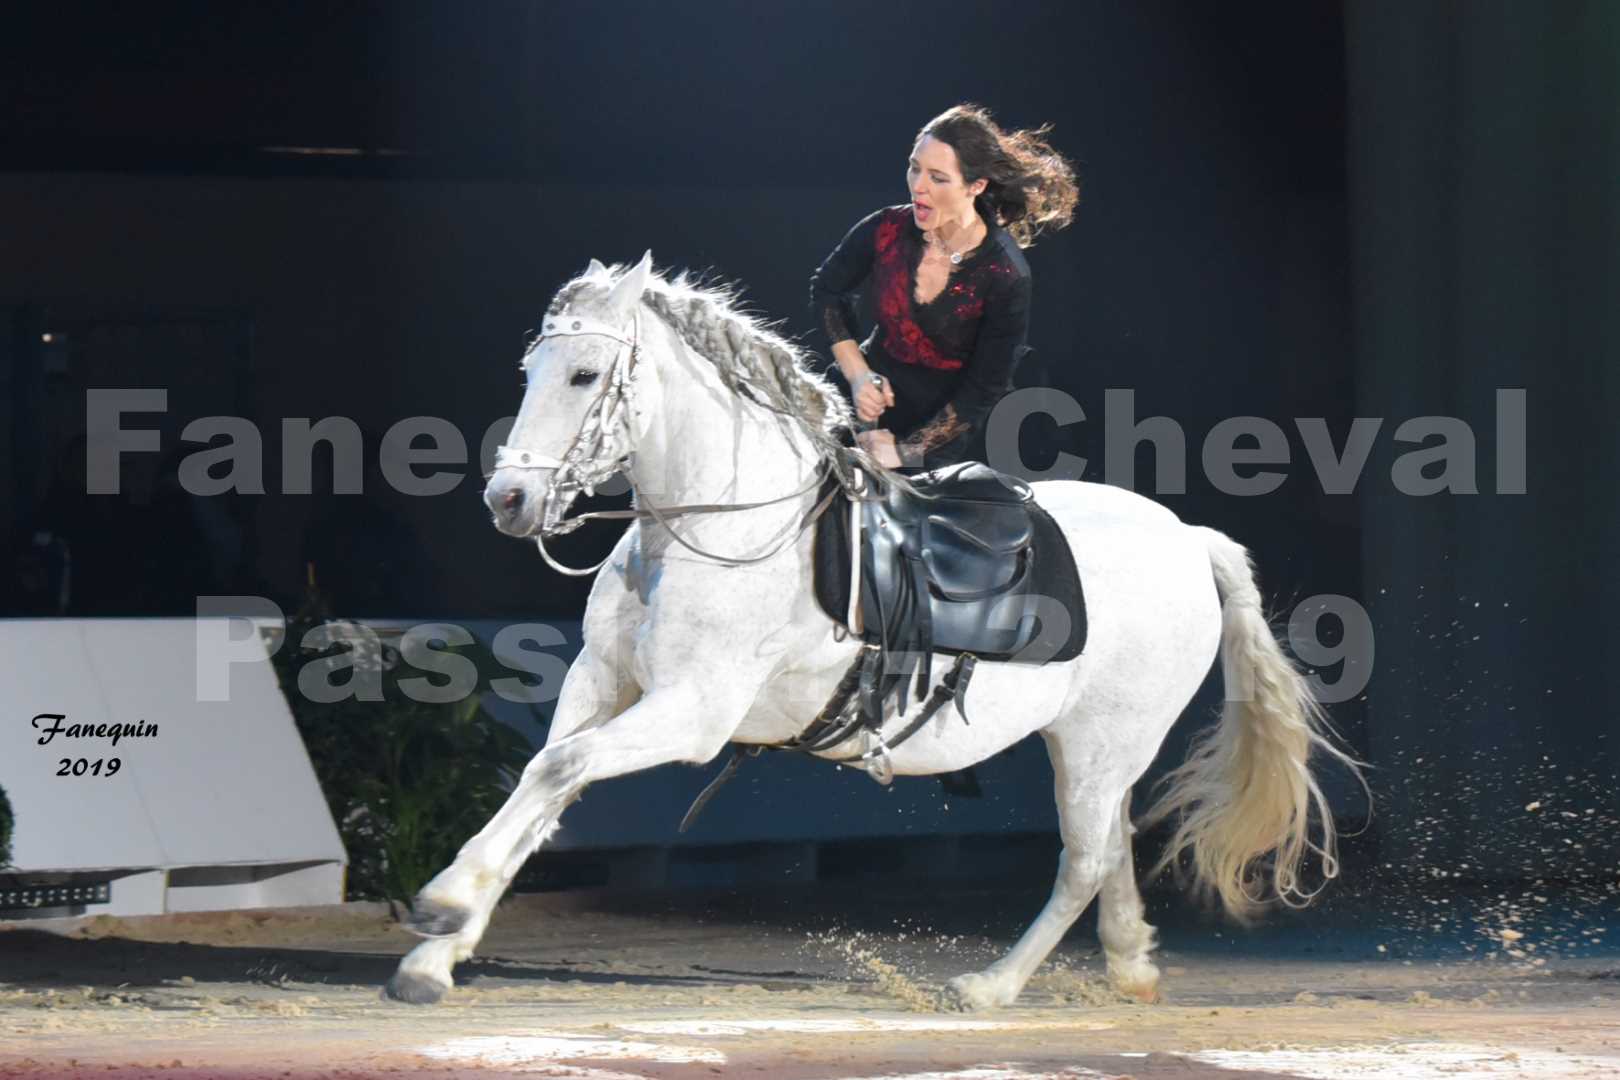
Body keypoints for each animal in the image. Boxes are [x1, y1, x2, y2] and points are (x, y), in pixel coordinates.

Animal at [385, 254, 1360, 1016]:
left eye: (584, 377)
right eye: (531, 372)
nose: (509, 500)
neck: (716, 525)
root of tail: (1189, 539)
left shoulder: (690, 712)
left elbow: (555, 773)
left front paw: (441, 906)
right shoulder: (602, 683)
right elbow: (545, 784)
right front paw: (436, 955)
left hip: (1102, 739)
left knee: (1084, 861)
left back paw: (990, 988)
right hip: (1095, 747)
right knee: (1111, 850)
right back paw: (1129, 966)